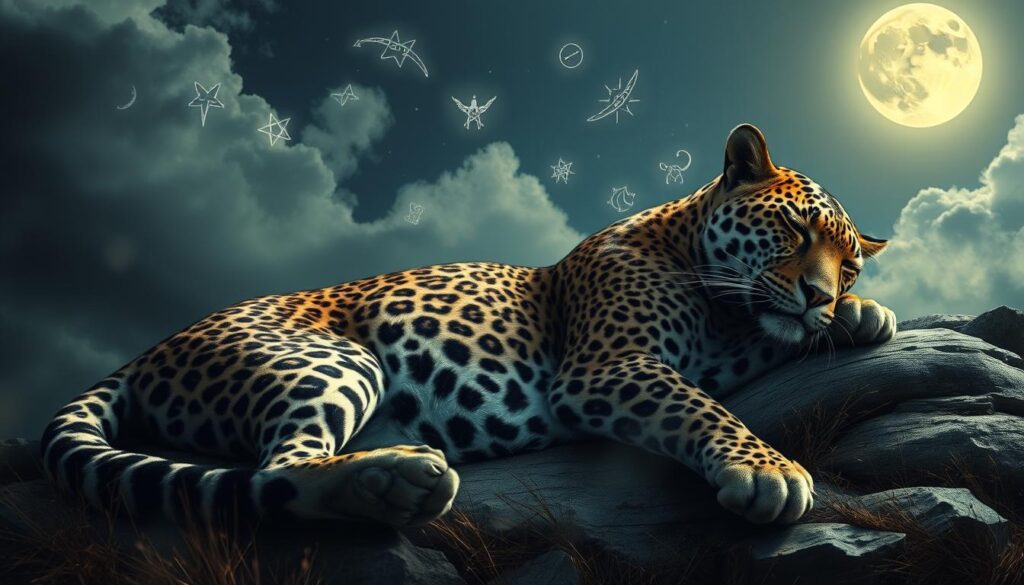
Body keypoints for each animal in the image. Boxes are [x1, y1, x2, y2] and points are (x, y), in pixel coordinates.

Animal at [41, 124, 896, 527]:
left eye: (849, 263)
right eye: (793, 229)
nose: (823, 294)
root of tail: (146, 349)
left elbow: (751, 349)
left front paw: (859, 316)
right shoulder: (609, 365)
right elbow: (702, 405)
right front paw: (770, 469)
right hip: (329, 361)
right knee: (274, 472)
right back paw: (400, 478)